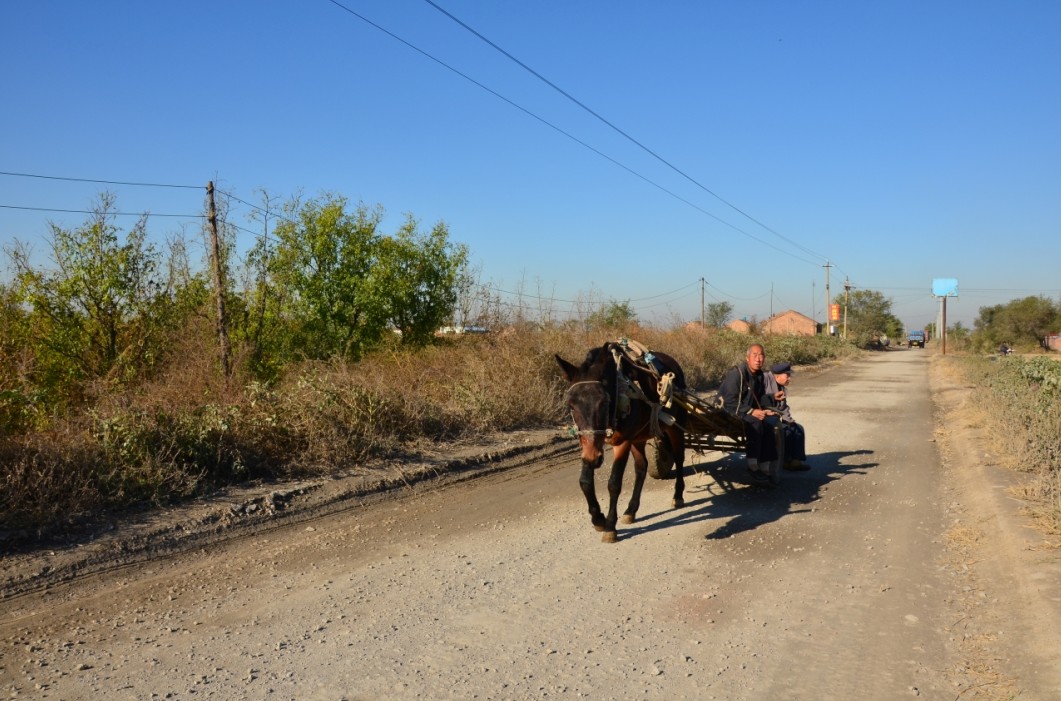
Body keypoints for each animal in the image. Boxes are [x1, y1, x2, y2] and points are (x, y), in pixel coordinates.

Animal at [555, 341, 687, 542]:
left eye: (603, 402)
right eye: (571, 405)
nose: (593, 458)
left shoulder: (622, 443)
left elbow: (614, 483)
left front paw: (610, 526)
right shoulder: (588, 445)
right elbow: (585, 481)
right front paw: (598, 519)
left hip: (674, 427)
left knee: (679, 457)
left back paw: (678, 495)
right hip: (638, 437)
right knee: (641, 467)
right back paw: (631, 510)